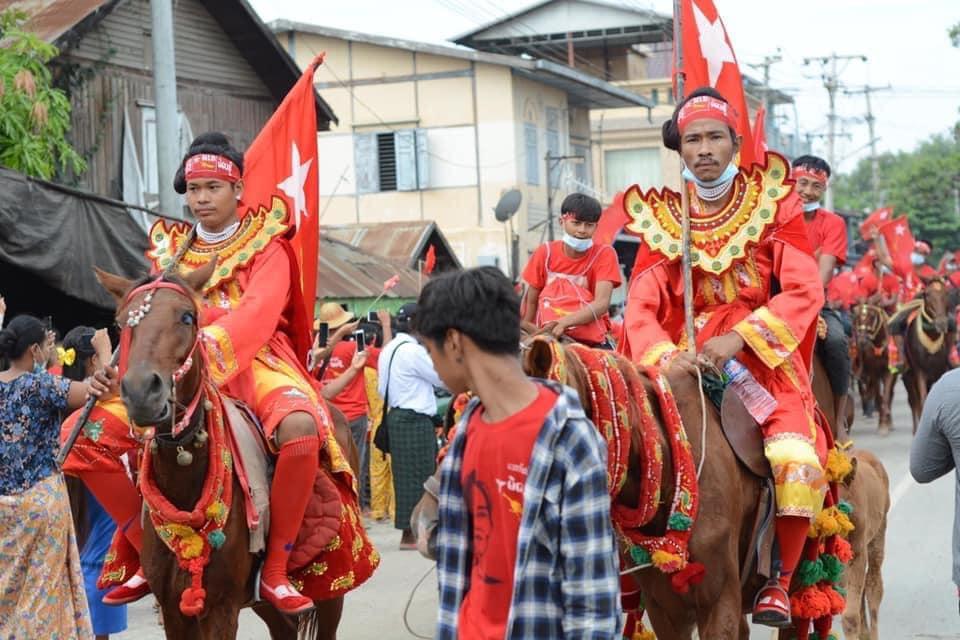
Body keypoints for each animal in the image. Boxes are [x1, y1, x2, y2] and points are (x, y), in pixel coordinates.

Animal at [96, 262, 356, 636]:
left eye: (188, 317)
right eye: (121, 323)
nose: (142, 391)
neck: (185, 485)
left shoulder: (222, 607)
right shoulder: (173, 608)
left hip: (331, 587)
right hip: (263, 605)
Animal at [852, 302, 896, 432]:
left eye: (872, 317)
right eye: (857, 317)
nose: (861, 341)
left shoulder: (889, 371)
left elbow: (886, 396)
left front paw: (885, 423)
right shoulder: (874, 372)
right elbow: (878, 396)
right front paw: (882, 423)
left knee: (890, 394)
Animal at [904, 280, 956, 436]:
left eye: (945, 294)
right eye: (927, 295)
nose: (941, 324)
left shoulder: (940, 369)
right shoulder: (919, 371)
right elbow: (922, 400)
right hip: (909, 377)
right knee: (913, 401)